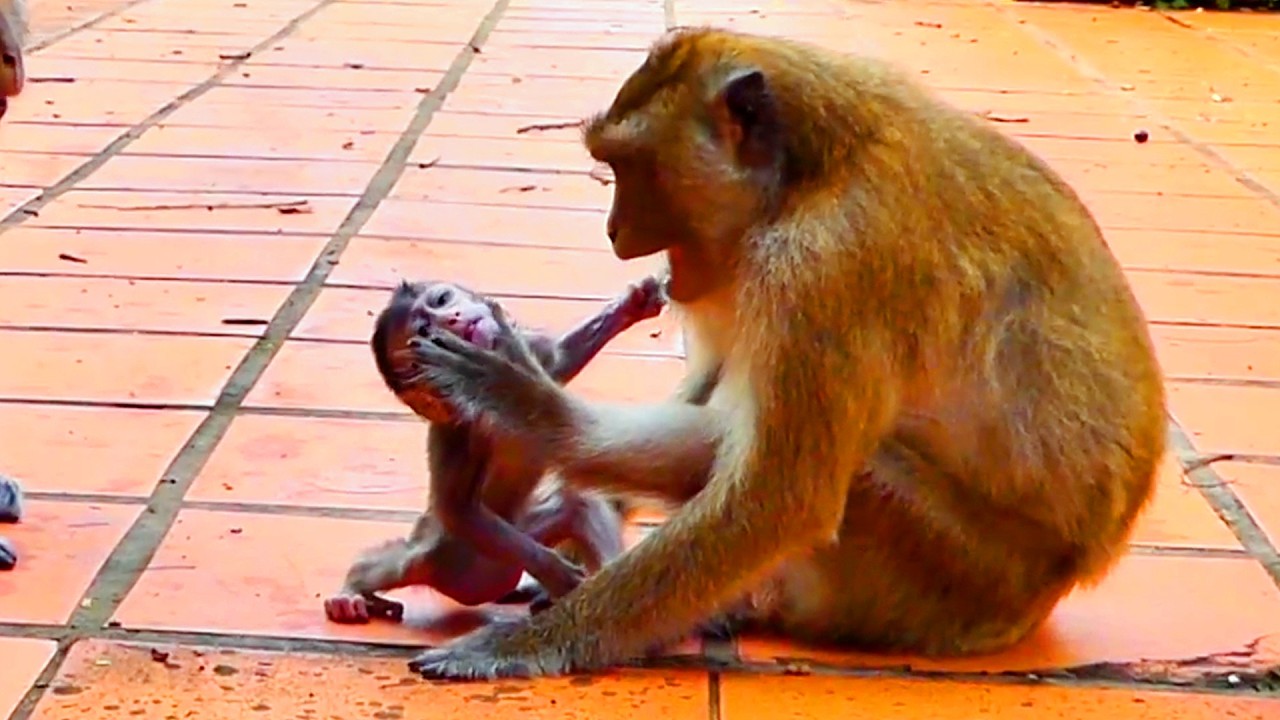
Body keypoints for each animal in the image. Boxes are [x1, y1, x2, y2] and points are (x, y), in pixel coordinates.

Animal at [324, 276, 667, 624]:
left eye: (442, 299)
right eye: (423, 330)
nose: (454, 318)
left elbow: (558, 361)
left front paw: (631, 305)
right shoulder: (459, 431)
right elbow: (458, 509)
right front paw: (556, 571)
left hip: (517, 534)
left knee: (577, 505)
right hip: (444, 557)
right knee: (401, 563)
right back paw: (353, 589)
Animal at [394, 26, 1167, 680]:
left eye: (632, 167)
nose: (614, 230)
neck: (807, 177)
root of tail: (1050, 596)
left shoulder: (824, 267)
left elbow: (780, 501)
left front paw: (527, 644)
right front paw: (533, 411)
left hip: (961, 583)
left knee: (861, 471)